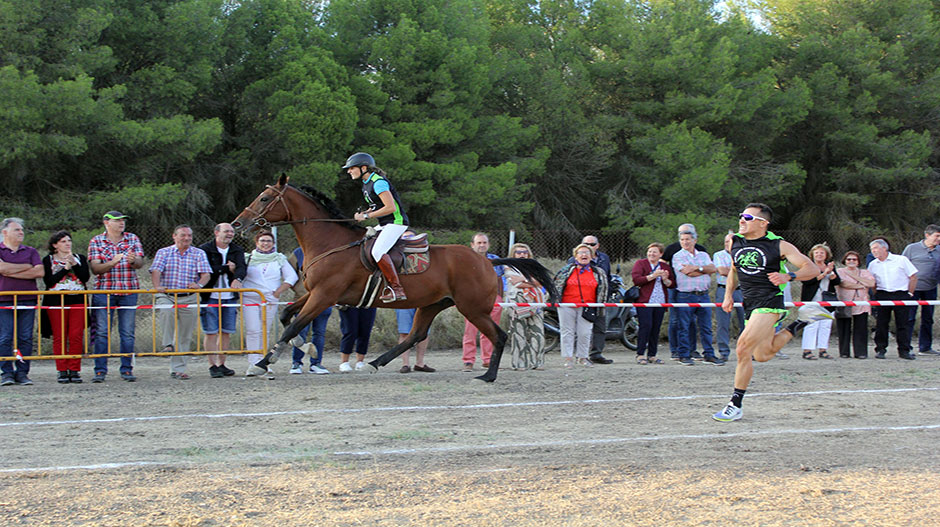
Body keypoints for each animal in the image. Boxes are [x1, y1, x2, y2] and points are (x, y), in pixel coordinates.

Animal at [230, 175, 556, 382]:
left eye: (264, 198)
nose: (236, 224)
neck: (328, 242)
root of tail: (487, 260)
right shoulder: (315, 293)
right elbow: (287, 316)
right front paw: (302, 347)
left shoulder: (325, 295)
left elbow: (293, 325)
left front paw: (262, 363)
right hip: (433, 304)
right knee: (416, 335)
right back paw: (374, 363)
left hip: (472, 308)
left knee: (498, 336)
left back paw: (488, 375)